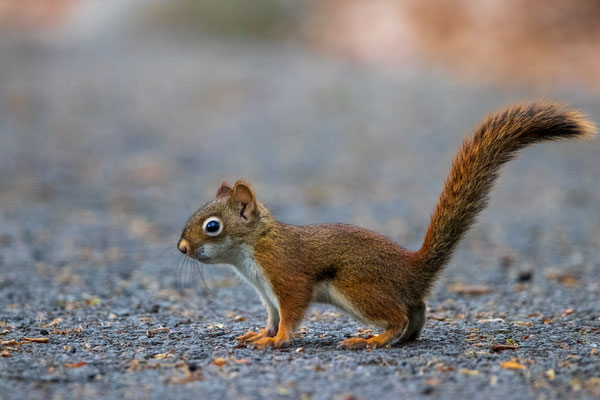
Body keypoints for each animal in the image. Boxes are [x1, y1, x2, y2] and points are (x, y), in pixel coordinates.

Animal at [175, 101, 596, 348]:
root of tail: (412, 268)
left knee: (399, 315)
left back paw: (374, 340)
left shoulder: (286, 276)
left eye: (212, 226)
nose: (181, 248)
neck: (254, 249)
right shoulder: (266, 293)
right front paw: (258, 333)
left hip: (357, 287)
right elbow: (271, 317)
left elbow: (290, 315)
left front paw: (275, 341)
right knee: (417, 311)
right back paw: (398, 338)